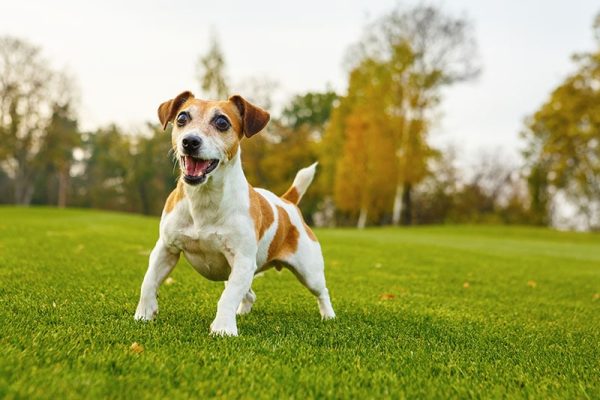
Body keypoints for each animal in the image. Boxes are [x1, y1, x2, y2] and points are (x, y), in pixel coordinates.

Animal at [133, 92, 336, 336]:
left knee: (322, 292)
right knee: (249, 293)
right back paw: (243, 312)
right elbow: (148, 281)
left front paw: (223, 329)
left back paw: (329, 316)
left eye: (222, 122)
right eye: (182, 118)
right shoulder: (166, 249)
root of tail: (288, 201)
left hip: (309, 271)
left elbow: (227, 298)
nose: (189, 141)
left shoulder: (242, 260)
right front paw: (143, 315)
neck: (204, 199)